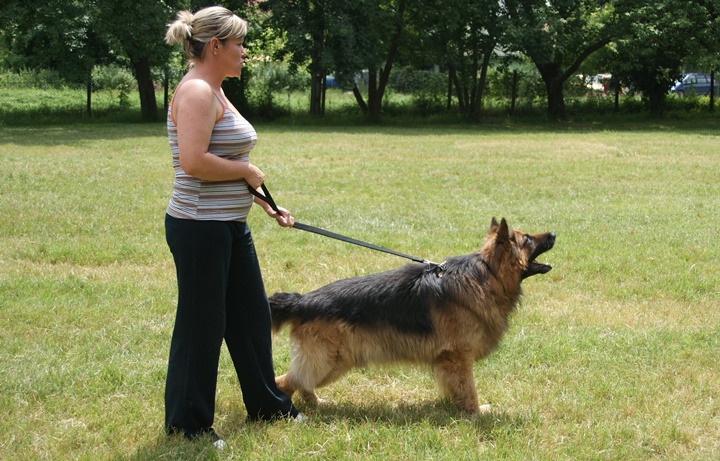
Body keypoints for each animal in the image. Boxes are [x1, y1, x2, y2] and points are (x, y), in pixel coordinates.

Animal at [270, 217, 555, 414]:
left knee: (300, 382)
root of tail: (303, 300)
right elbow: (469, 388)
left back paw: (316, 404)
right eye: (527, 239)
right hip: (328, 362)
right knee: (286, 381)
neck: (486, 275)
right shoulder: (458, 357)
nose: (553, 233)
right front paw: (475, 413)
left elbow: (458, 388)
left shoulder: (449, 362)